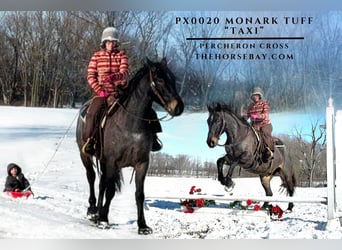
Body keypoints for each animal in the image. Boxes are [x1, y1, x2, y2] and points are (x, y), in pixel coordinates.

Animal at [75, 57, 184, 233]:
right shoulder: (112, 162)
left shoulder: (141, 164)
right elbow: (110, 191)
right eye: (160, 79)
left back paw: (97, 211)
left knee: (101, 184)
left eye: (173, 79)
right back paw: (93, 210)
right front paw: (103, 219)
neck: (131, 124)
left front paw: (142, 225)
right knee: (91, 177)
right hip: (85, 154)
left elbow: (139, 194)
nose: (178, 106)